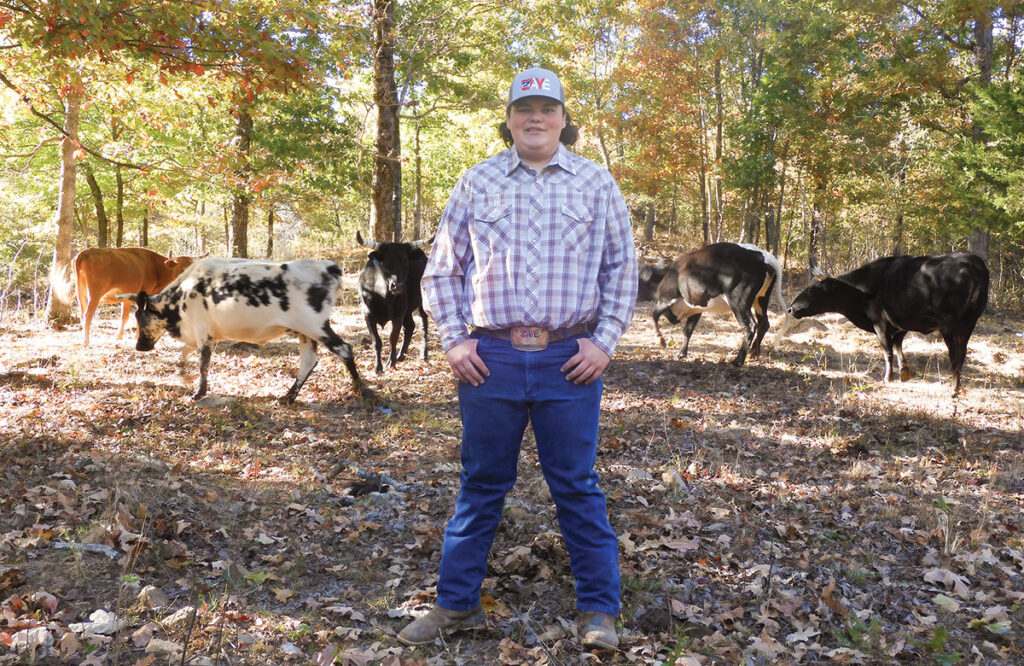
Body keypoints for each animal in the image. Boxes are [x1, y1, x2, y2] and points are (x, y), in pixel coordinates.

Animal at [52, 245, 200, 344]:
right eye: (181, 269)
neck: (156, 268)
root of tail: (85, 253)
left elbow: (125, 316)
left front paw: (120, 337)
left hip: (81, 293)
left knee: (82, 313)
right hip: (95, 293)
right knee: (88, 314)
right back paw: (86, 341)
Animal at [117, 257, 370, 401]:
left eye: (139, 316)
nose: (139, 346)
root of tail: (327, 266)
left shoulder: (203, 333)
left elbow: (203, 364)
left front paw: (199, 392)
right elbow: (184, 356)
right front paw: (184, 376)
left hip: (315, 326)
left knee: (344, 349)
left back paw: (362, 390)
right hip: (305, 332)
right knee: (309, 361)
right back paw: (288, 396)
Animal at [356, 229, 432, 372]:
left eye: (405, 262)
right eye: (386, 263)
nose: (398, 286)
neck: (383, 296)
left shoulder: (398, 315)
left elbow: (393, 338)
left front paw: (391, 363)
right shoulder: (368, 315)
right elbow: (376, 341)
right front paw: (378, 367)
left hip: (422, 304)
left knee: (423, 325)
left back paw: (423, 354)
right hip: (407, 311)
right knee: (410, 326)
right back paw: (400, 356)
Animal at [643, 239, 778, 362]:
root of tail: (761, 258)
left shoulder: (667, 298)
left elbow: (654, 314)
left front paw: (661, 340)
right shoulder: (696, 308)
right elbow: (687, 330)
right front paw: (681, 354)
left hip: (738, 303)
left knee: (750, 326)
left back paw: (737, 361)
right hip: (761, 299)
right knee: (764, 323)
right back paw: (753, 353)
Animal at [786, 252, 987, 391]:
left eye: (812, 289)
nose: (790, 308)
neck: (863, 291)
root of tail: (972, 262)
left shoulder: (880, 323)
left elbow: (887, 351)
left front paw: (888, 377)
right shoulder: (901, 324)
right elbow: (898, 347)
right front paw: (904, 371)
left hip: (950, 325)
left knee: (955, 355)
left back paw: (954, 388)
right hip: (969, 323)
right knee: (962, 354)